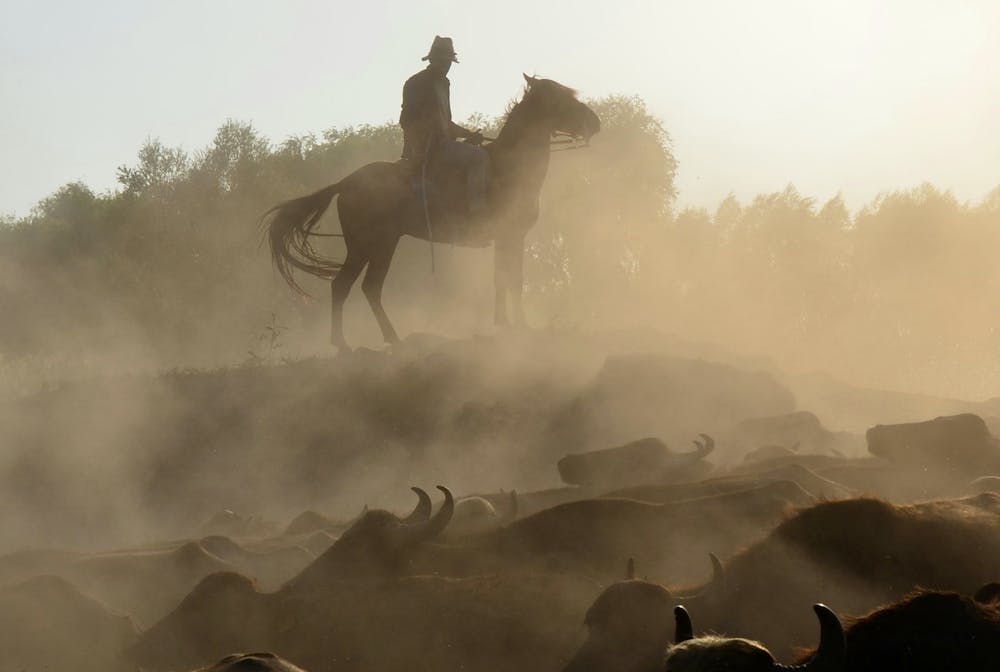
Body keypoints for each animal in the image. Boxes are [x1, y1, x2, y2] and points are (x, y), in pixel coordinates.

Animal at [262, 73, 596, 350]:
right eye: (561, 98)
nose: (595, 122)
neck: (508, 167)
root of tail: (348, 181)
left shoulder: (510, 238)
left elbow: (505, 279)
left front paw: (505, 323)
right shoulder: (510, 235)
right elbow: (511, 280)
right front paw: (520, 326)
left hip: (374, 246)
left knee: (358, 288)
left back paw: (377, 339)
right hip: (371, 245)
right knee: (354, 286)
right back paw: (354, 343)